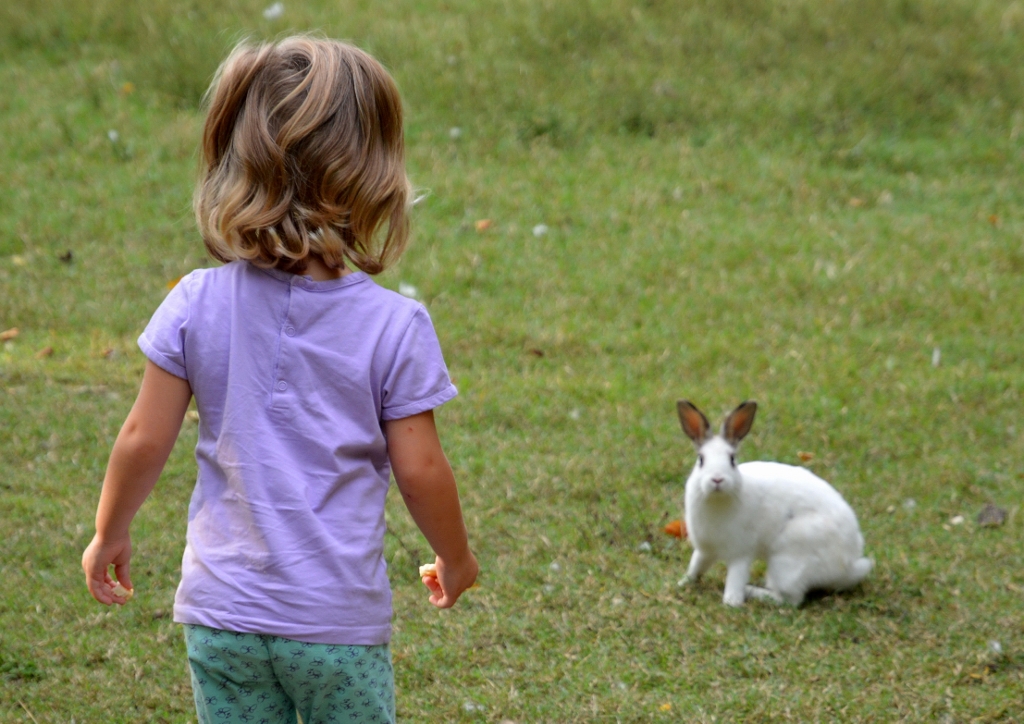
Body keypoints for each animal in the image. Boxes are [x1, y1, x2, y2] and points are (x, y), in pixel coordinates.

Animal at [679, 399, 872, 610]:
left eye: (732, 460)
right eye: (701, 460)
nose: (717, 479)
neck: (716, 500)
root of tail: (848, 565)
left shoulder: (741, 553)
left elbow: (735, 578)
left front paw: (732, 602)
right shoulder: (705, 549)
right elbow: (696, 566)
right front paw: (683, 582)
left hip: (787, 562)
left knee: (790, 600)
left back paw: (751, 591)